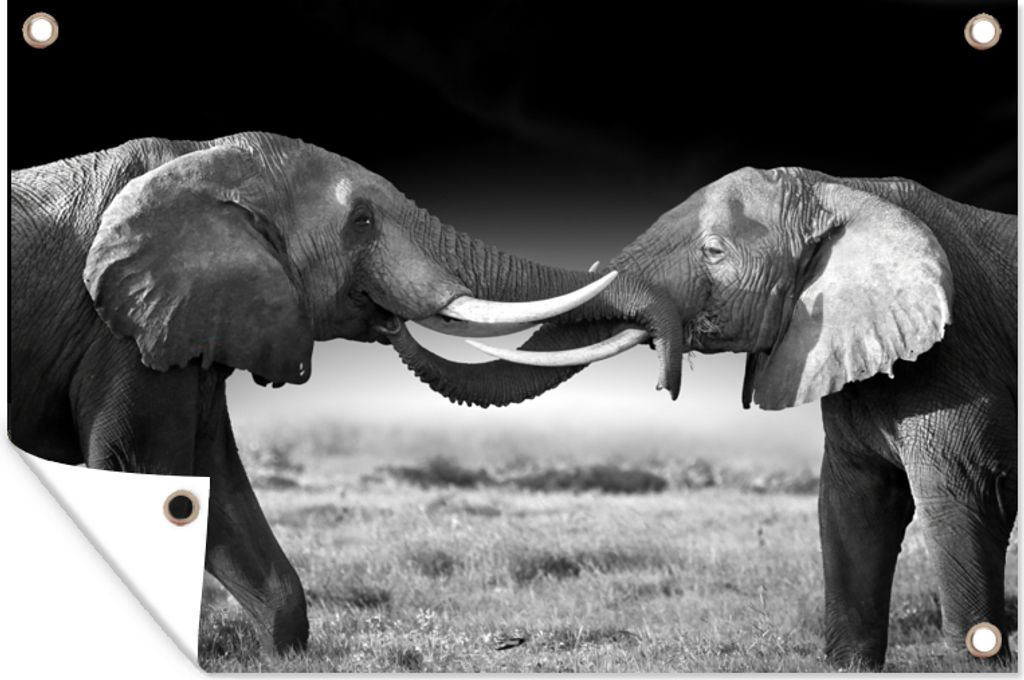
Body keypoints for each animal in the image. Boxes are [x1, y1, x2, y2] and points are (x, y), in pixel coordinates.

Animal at [9, 132, 684, 652]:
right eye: (362, 222)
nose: (666, 380)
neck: (199, 156)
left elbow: (213, 478)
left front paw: (282, 653)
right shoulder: (117, 331)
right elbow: (153, 472)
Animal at [466, 167, 1018, 668]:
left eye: (713, 251)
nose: (665, 381)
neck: (846, 189)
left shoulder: (959, 360)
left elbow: (957, 501)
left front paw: (977, 666)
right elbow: (851, 506)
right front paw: (849, 667)